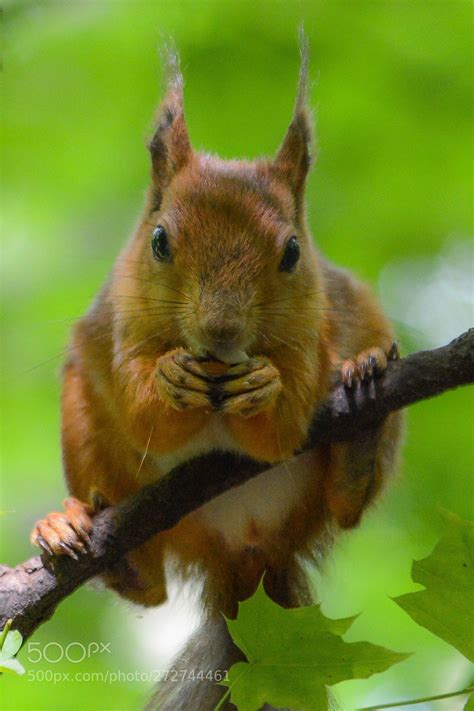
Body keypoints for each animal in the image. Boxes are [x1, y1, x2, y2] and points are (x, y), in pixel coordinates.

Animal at [30, 43, 404, 711]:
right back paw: (72, 527)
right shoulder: (118, 327)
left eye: (292, 252)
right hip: (83, 418)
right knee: (148, 588)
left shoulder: (316, 324)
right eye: (159, 241)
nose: (221, 332)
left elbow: (284, 424)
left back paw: (362, 400)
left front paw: (269, 388)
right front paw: (168, 380)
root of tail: (246, 555)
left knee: (347, 503)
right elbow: (142, 411)